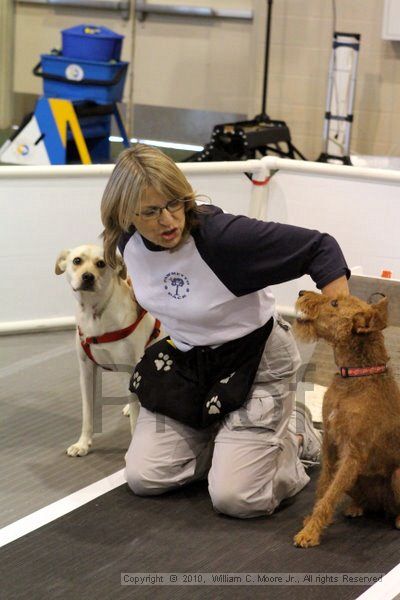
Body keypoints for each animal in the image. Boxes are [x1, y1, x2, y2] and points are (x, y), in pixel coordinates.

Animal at [55, 244, 163, 454]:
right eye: (77, 260)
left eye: (101, 263)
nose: (88, 277)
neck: (94, 314)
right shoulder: (87, 372)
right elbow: (87, 413)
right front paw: (83, 443)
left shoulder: (129, 370)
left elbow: (136, 417)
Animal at [292, 290, 400, 548]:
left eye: (334, 303)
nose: (301, 292)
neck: (354, 377)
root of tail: (383, 507)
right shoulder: (330, 443)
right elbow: (324, 488)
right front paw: (311, 521)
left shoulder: (353, 453)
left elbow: (329, 496)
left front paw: (309, 533)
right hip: (356, 479)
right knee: (364, 502)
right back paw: (356, 507)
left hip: (396, 475)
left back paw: (399, 520)